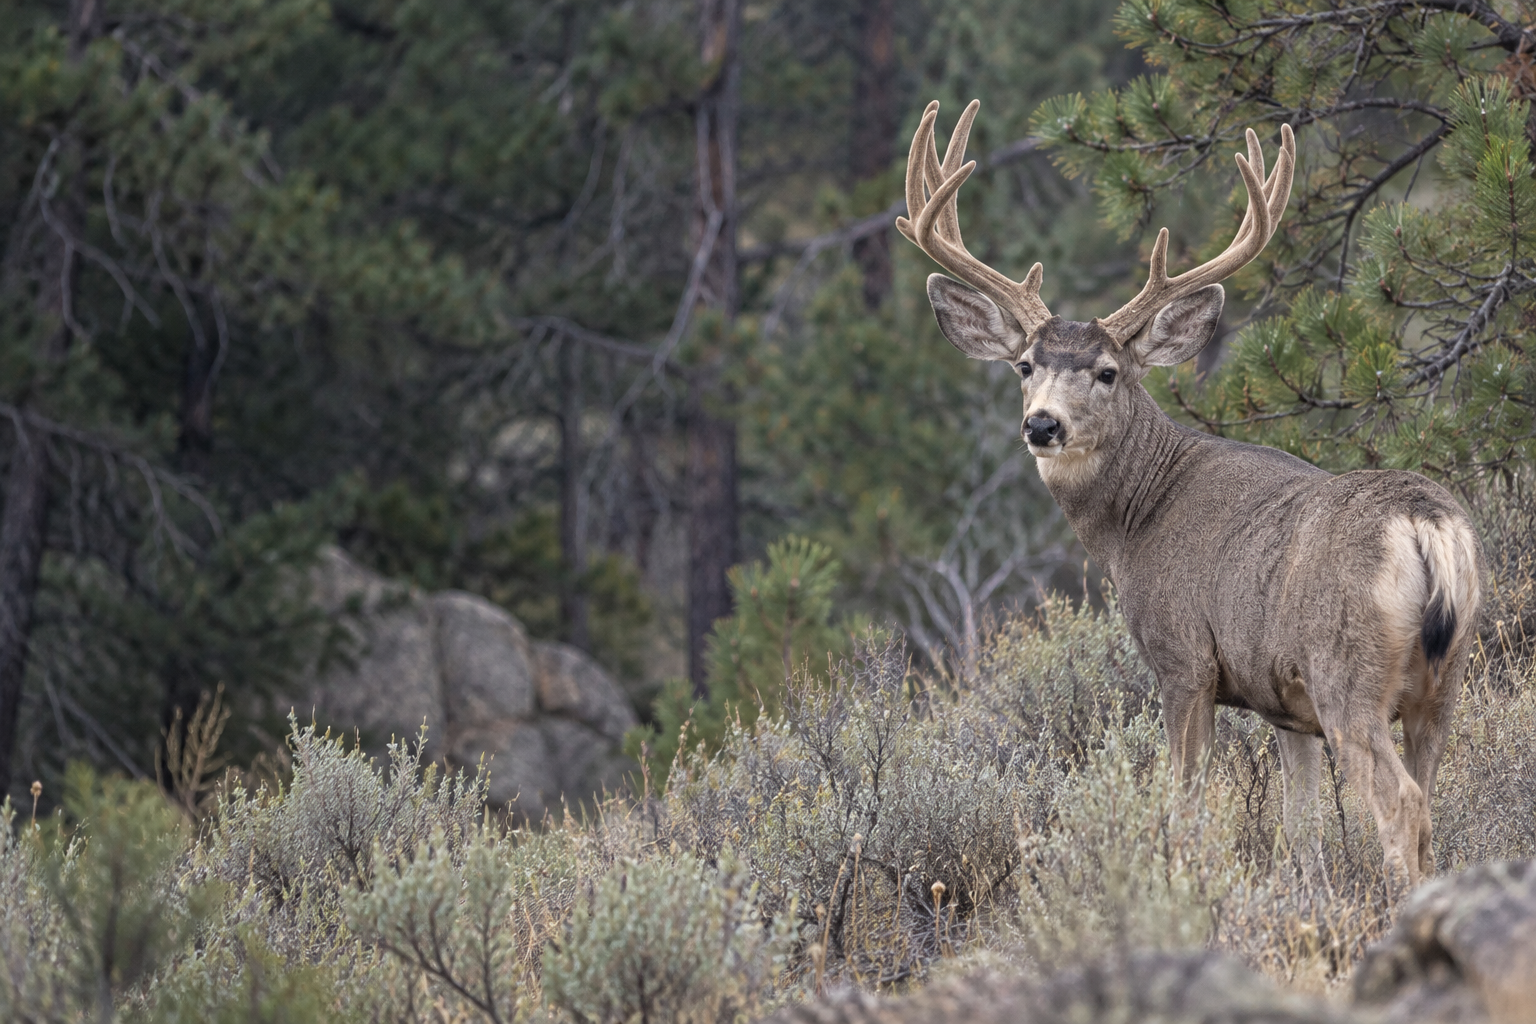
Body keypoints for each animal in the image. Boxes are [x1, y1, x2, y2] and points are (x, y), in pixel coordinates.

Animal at [897, 100, 1483, 893]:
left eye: (1108, 371)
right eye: (1024, 364)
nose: (1042, 424)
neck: (1136, 519)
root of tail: (1427, 524)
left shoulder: (1184, 660)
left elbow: (1185, 809)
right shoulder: (1284, 705)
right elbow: (1300, 827)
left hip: (1348, 673)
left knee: (1403, 803)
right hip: (1443, 682)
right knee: (1431, 798)